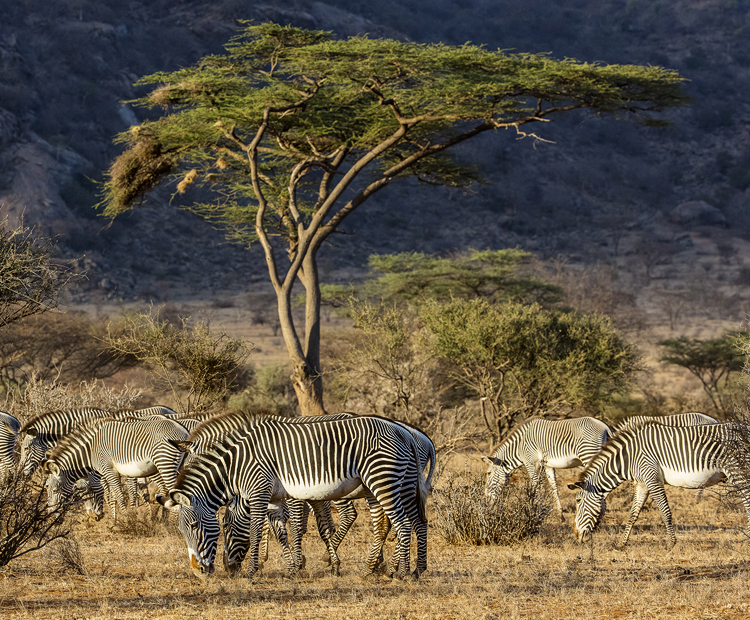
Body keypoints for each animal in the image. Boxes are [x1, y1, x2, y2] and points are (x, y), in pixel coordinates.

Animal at [43, 414, 189, 520]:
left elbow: (118, 494)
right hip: (176, 466)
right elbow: (115, 494)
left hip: (164, 464)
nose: (49, 516)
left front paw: (126, 520)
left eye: (55, 491)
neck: (90, 450)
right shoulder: (114, 472)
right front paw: (118, 520)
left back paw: (172, 525)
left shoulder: (108, 469)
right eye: (47, 490)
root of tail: (183, 429)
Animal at [159, 414, 428, 580]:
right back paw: (414, 570)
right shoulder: (275, 498)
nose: (197, 571)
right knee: (417, 523)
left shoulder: (259, 493)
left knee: (402, 524)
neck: (236, 464)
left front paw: (253, 571)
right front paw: (291, 570)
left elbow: (258, 530)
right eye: (181, 530)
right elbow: (280, 533)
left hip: (383, 482)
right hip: (401, 484)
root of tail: (403, 432)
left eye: (195, 526)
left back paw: (398, 572)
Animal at [484, 418, 612, 516]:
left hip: (589, 454)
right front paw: (560, 513)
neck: (519, 446)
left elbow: (536, 486)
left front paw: (534, 509)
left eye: (488, 473)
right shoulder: (547, 465)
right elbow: (553, 486)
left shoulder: (532, 463)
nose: (486, 498)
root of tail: (605, 427)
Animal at [568, 424, 750, 548]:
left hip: (737, 470)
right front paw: (621, 543)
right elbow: (633, 514)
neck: (628, 459)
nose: (576, 535)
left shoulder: (652, 479)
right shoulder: (642, 483)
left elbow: (665, 512)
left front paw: (671, 544)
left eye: (578, 501)